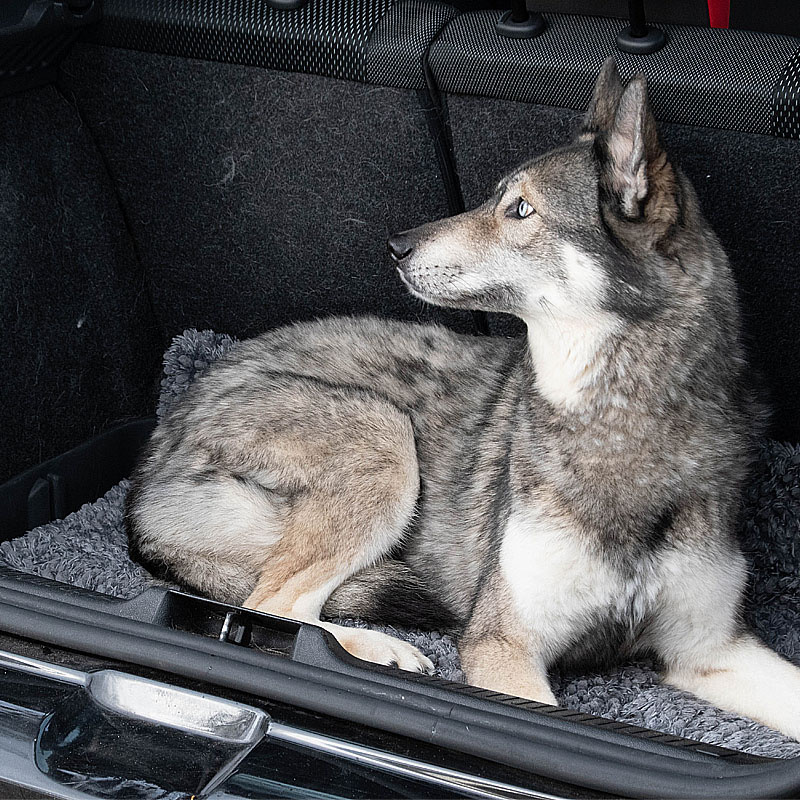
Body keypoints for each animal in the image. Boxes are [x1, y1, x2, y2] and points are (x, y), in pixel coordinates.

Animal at [125, 61, 800, 736]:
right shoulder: (503, 641)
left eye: (520, 209)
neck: (621, 420)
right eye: (496, 200)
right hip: (383, 436)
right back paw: (376, 650)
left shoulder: (710, 649)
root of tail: (152, 463)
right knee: (272, 606)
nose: (395, 245)